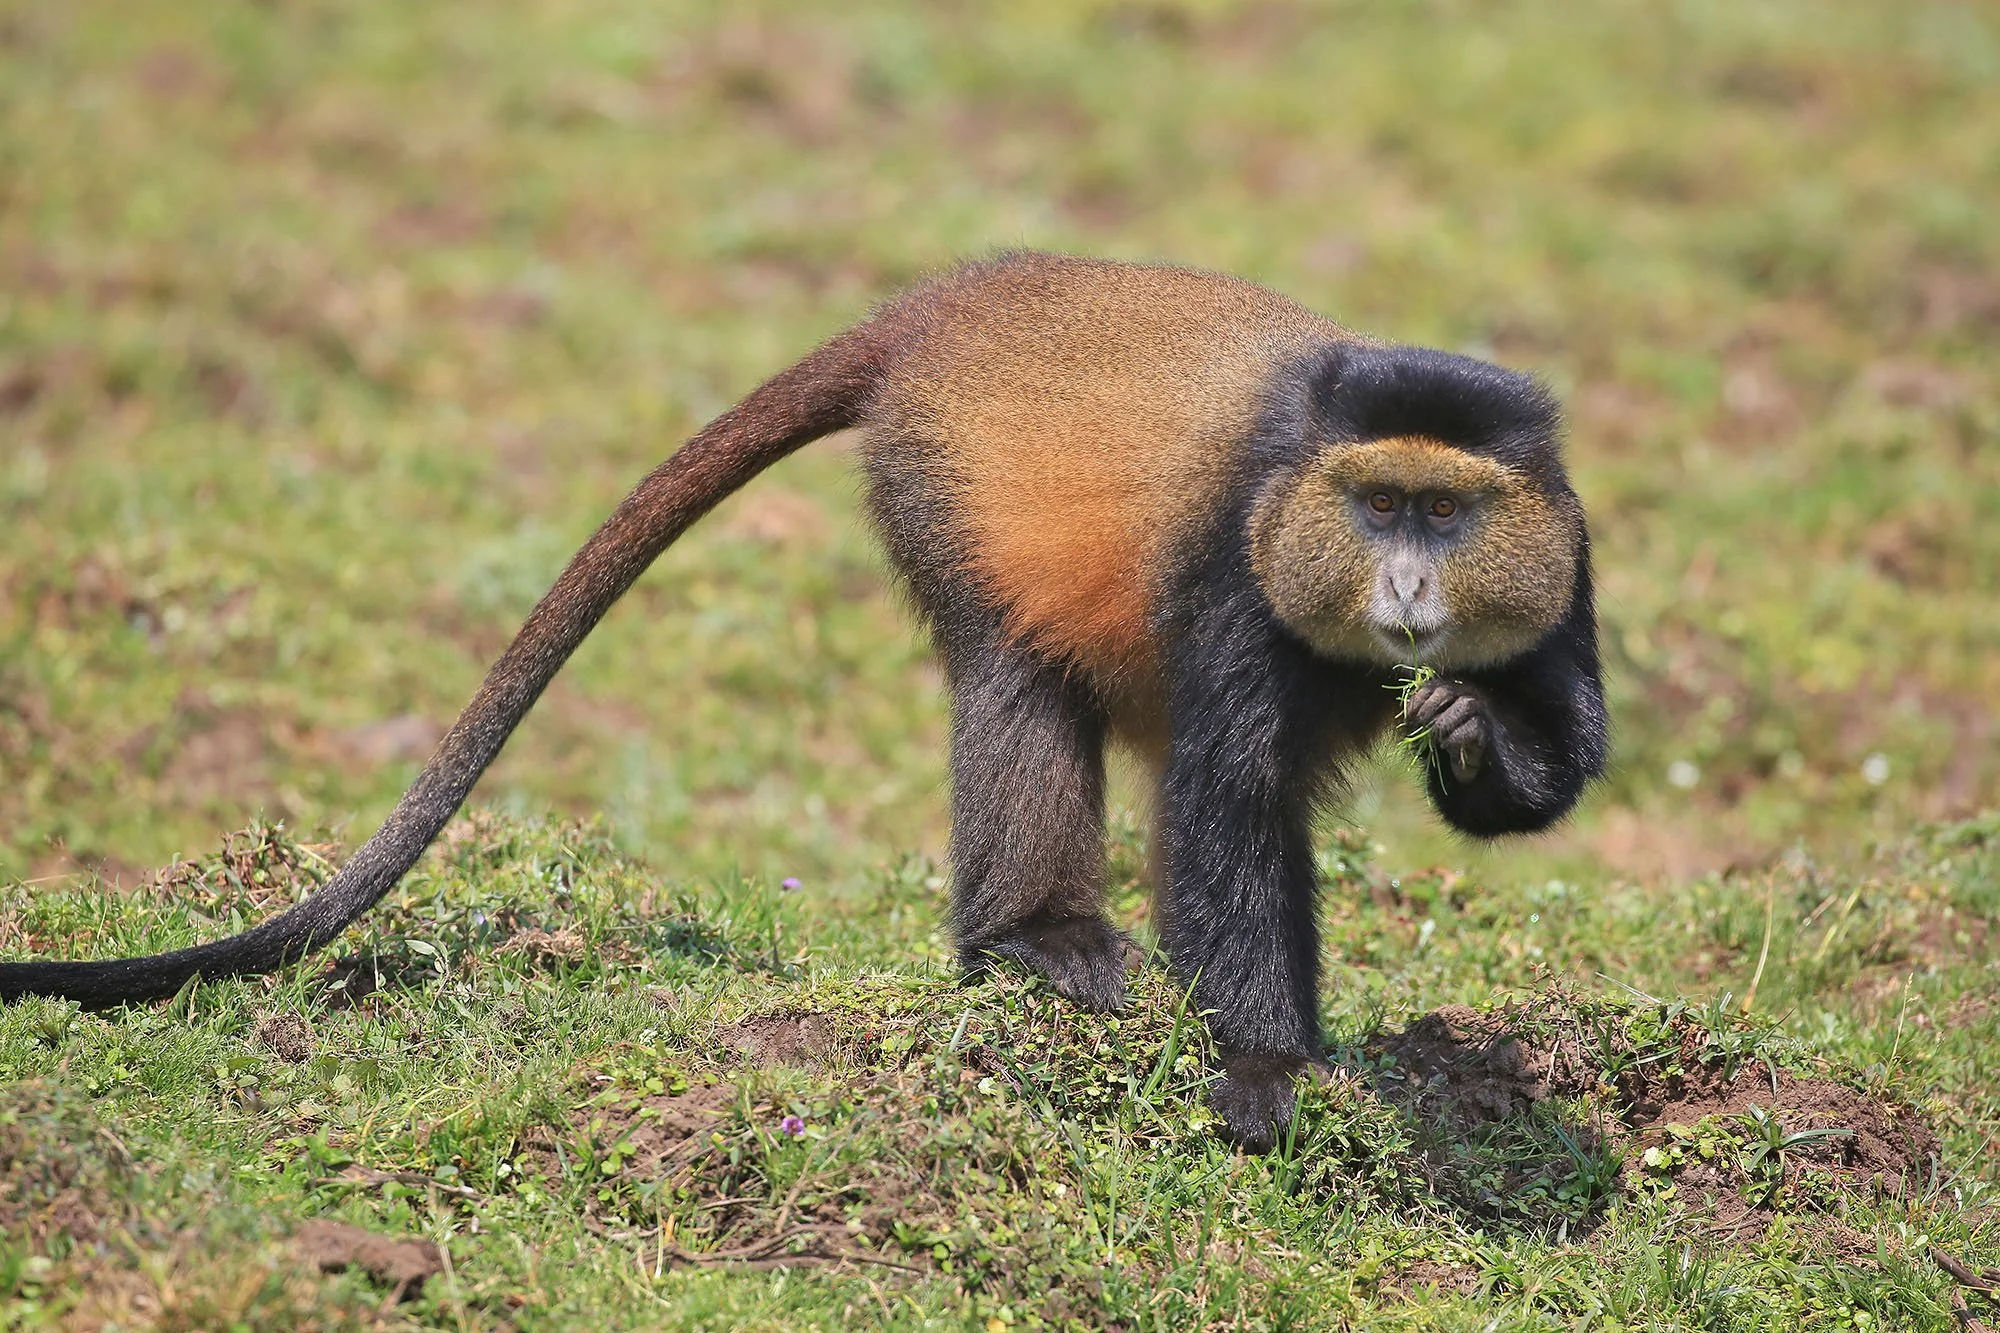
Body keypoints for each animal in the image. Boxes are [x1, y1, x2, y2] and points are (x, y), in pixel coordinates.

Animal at [0, 252, 1606, 1151]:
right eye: (1377, 501)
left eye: (1447, 511)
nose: (1407, 584)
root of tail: (951, 301)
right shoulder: (1230, 564)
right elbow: (1227, 810)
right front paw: (1267, 1074)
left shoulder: (1564, 545)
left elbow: (1563, 755)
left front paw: (1473, 734)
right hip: (940, 482)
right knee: (1016, 680)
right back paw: (1031, 938)